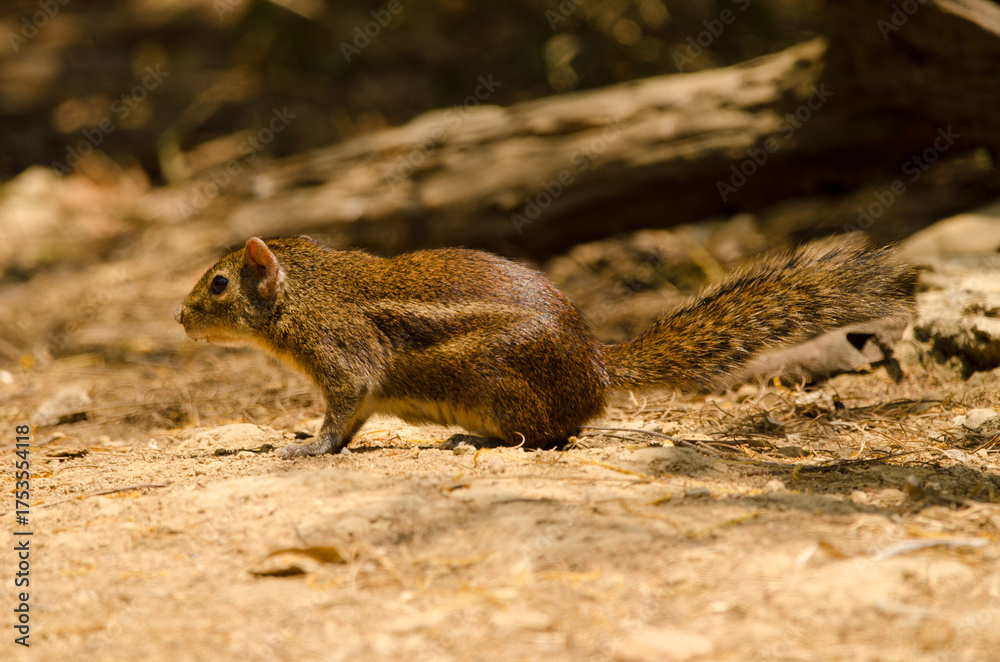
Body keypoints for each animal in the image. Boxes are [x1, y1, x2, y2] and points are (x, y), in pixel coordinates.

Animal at [175, 235, 911, 459]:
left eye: (217, 284)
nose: (179, 317)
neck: (309, 292)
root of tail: (598, 368)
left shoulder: (343, 356)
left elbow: (343, 413)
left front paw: (303, 447)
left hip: (497, 382)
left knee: (552, 434)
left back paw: (474, 439)